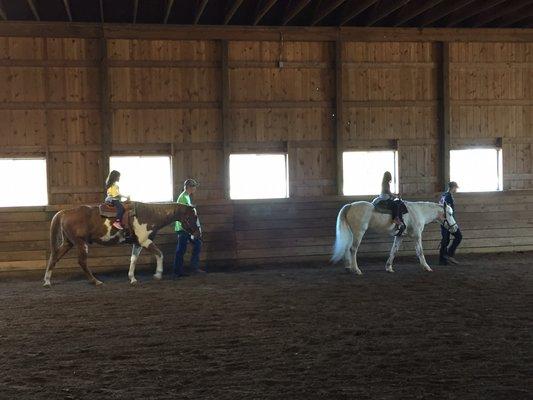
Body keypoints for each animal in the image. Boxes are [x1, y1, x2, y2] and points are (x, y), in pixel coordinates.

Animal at [42, 203, 201, 288]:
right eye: (193, 217)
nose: (198, 234)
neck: (148, 215)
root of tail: (64, 212)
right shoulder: (145, 241)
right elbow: (159, 254)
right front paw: (158, 274)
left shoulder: (137, 243)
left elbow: (133, 260)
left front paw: (132, 278)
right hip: (81, 243)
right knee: (82, 262)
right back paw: (96, 281)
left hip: (68, 243)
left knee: (54, 258)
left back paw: (47, 281)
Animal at [328, 202, 458, 274]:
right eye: (450, 214)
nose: (455, 228)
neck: (418, 212)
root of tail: (351, 206)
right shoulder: (417, 235)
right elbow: (420, 252)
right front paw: (426, 267)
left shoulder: (399, 236)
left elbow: (393, 251)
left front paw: (389, 267)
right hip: (359, 232)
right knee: (353, 249)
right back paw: (356, 270)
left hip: (352, 233)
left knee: (347, 248)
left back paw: (348, 267)